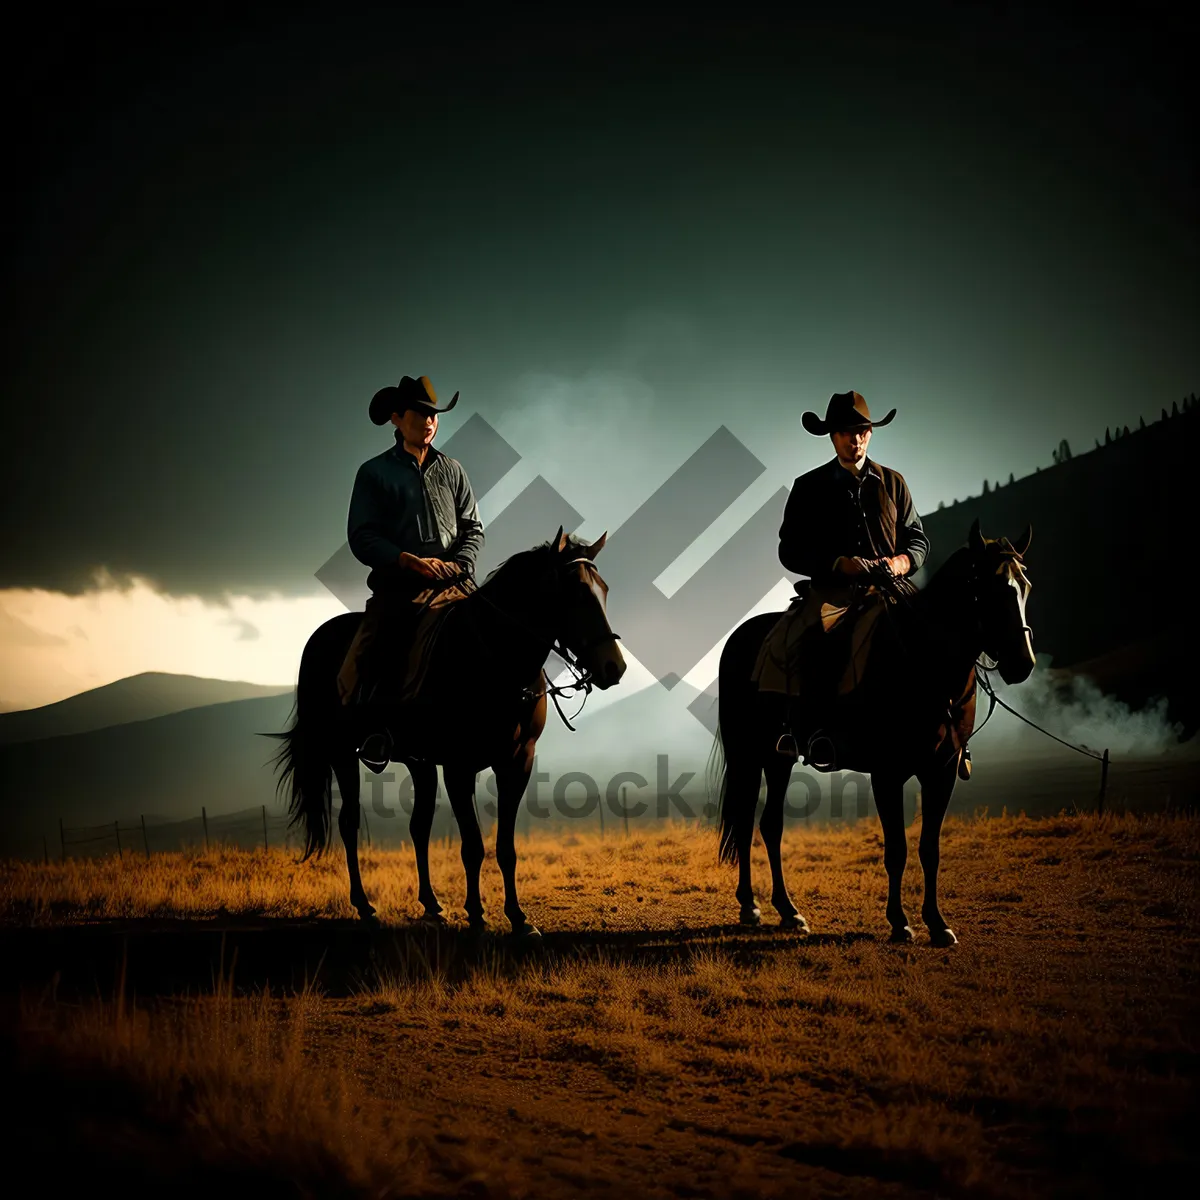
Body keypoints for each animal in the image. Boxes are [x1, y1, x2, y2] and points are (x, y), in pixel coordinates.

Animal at [265, 528, 628, 936]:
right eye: (576, 593)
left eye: (603, 590)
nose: (613, 668)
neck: (494, 660)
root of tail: (320, 638)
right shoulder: (459, 767)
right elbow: (473, 845)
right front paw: (476, 915)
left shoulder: (517, 762)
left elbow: (505, 848)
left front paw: (518, 918)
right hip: (341, 753)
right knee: (350, 823)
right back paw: (365, 906)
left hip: (417, 762)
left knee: (418, 825)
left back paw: (431, 904)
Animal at [710, 520, 1032, 950]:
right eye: (991, 588)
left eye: (1025, 585)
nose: (1023, 663)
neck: (923, 664)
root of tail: (740, 637)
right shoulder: (887, 773)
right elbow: (896, 848)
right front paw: (900, 922)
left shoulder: (941, 771)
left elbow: (930, 849)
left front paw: (937, 923)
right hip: (748, 754)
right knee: (746, 821)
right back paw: (750, 905)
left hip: (779, 758)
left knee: (769, 824)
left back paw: (788, 911)